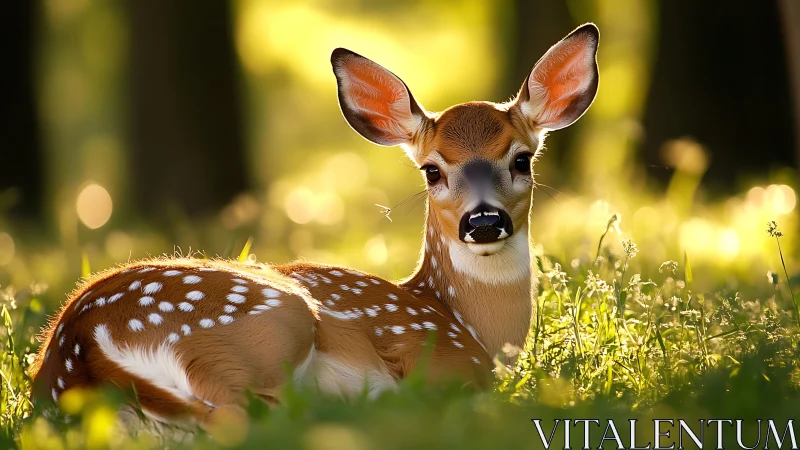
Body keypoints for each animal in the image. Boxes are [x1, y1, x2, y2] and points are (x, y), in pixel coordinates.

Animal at [29, 24, 599, 429]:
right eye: (432, 170)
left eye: (522, 159)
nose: (483, 221)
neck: (472, 326)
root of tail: (80, 343)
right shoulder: (445, 362)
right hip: (267, 323)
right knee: (240, 417)